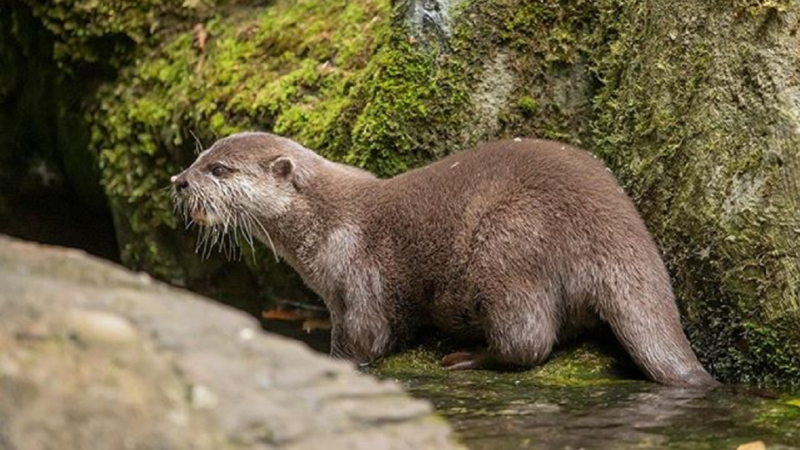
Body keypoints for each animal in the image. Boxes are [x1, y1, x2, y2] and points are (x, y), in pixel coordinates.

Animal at [170, 131, 720, 386]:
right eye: (198, 157)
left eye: (219, 170)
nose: (178, 181)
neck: (326, 226)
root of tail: (621, 231)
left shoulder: (359, 274)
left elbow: (365, 339)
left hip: (509, 240)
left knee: (529, 341)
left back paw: (468, 356)